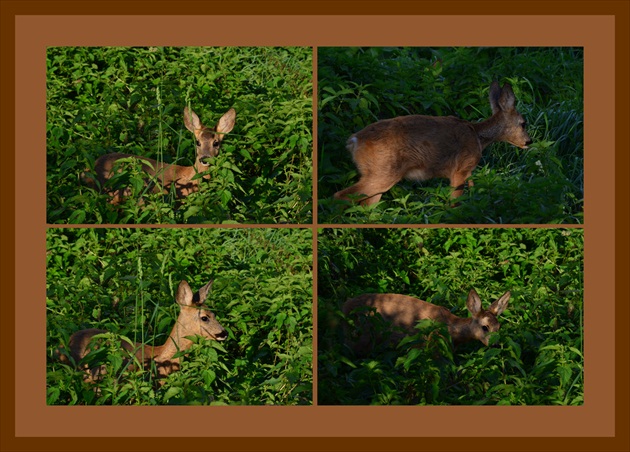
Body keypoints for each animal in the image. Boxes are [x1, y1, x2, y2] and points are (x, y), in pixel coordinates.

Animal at [336, 82, 532, 206]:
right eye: (523, 123)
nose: (529, 141)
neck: (477, 136)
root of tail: (354, 141)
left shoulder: (469, 171)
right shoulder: (460, 168)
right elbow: (455, 202)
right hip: (382, 171)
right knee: (340, 195)